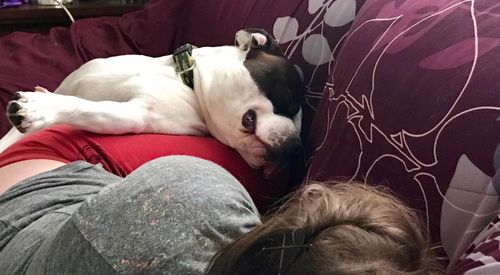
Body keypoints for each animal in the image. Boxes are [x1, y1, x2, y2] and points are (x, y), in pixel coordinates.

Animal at [0, 29, 304, 176]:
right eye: (290, 99)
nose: (296, 148)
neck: (185, 76)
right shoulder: (67, 86)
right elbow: (7, 141)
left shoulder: (134, 114)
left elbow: (84, 107)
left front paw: (41, 107)